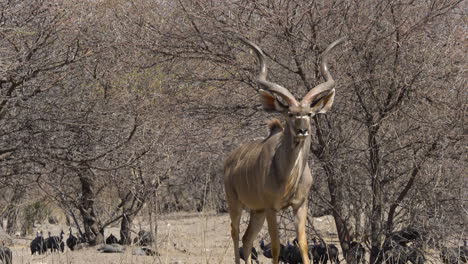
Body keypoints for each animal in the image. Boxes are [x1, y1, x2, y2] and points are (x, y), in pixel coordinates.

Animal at [223, 36, 344, 264]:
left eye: (310, 114)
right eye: (290, 114)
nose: (303, 130)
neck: (287, 176)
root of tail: (229, 161)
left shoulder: (299, 205)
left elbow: (303, 245)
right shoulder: (272, 207)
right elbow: (277, 247)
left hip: (257, 210)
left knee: (247, 238)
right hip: (236, 203)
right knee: (235, 234)